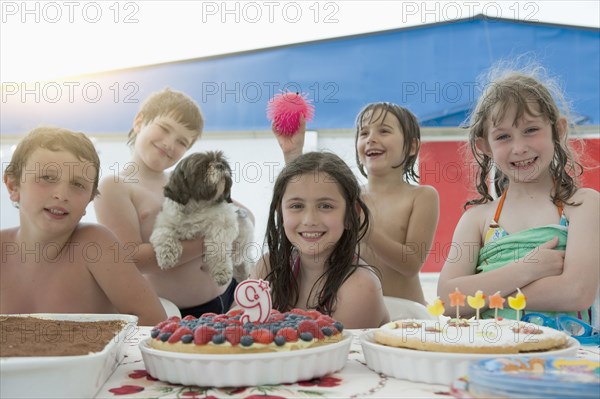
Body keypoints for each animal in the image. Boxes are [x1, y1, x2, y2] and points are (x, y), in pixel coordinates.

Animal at [151, 152, 254, 286]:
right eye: (202, 167)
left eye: (223, 162)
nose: (220, 165)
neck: (197, 207)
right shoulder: (164, 223)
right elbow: (164, 236)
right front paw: (167, 257)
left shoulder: (225, 222)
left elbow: (218, 247)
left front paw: (221, 271)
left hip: (243, 222)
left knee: (243, 248)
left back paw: (237, 257)